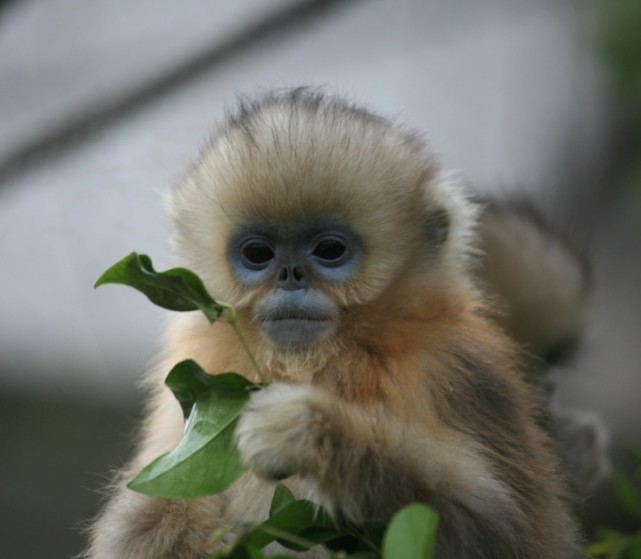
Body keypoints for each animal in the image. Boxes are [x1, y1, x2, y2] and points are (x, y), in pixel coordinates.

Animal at [87, 89, 584, 556]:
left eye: (329, 250)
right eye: (258, 253)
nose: (291, 275)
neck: (319, 357)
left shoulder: (458, 366)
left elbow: (505, 533)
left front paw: (309, 432)